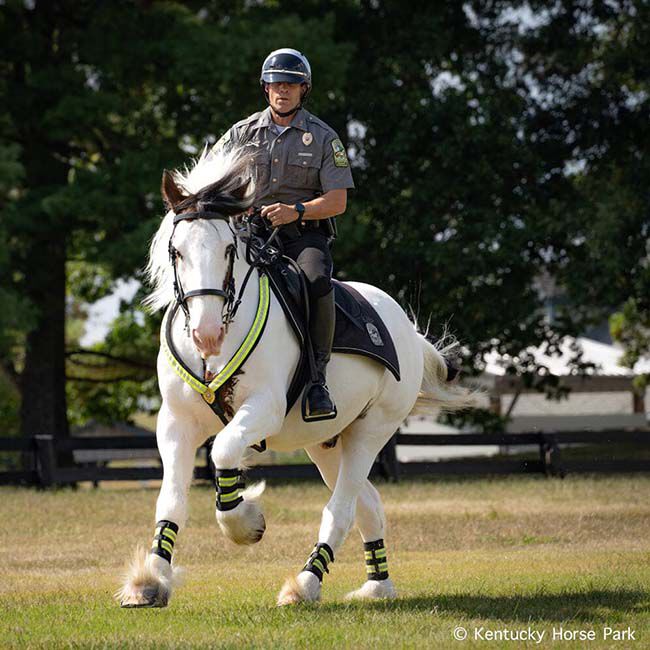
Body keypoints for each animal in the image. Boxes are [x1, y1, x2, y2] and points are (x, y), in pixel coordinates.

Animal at [116, 148, 475, 608]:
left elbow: (224, 452)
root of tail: (407, 331)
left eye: (229, 248)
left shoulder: (264, 409)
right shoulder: (176, 421)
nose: (207, 334)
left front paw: (246, 522)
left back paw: (305, 584)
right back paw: (377, 586)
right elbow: (172, 501)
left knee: (341, 510)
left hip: (371, 431)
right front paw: (149, 581)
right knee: (369, 506)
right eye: (176, 251)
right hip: (327, 444)